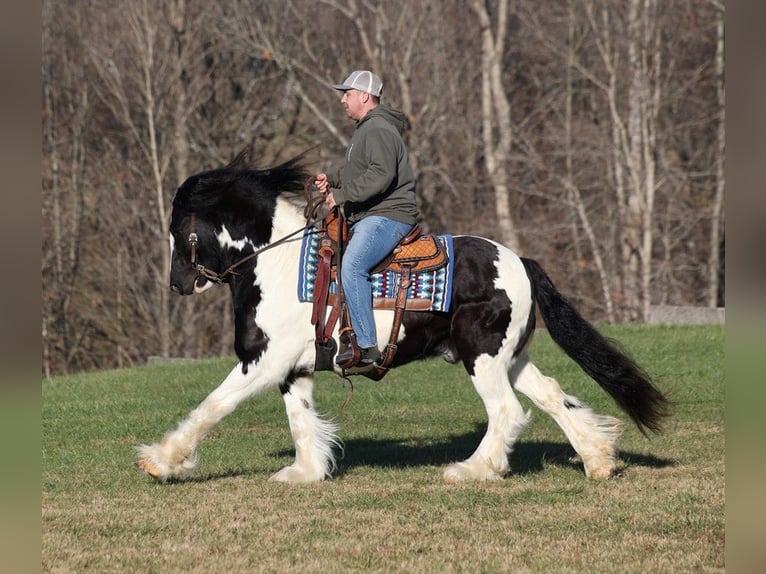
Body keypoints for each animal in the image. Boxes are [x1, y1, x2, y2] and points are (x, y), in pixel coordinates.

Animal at [138, 150, 672, 486]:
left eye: (179, 227)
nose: (177, 283)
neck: (277, 263)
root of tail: (519, 261)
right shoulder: (293, 368)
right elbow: (301, 421)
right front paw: (305, 472)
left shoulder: (263, 362)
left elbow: (213, 405)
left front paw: (162, 461)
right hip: (508, 357)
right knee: (554, 397)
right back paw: (598, 459)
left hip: (481, 357)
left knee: (507, 412)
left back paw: (471, 470)